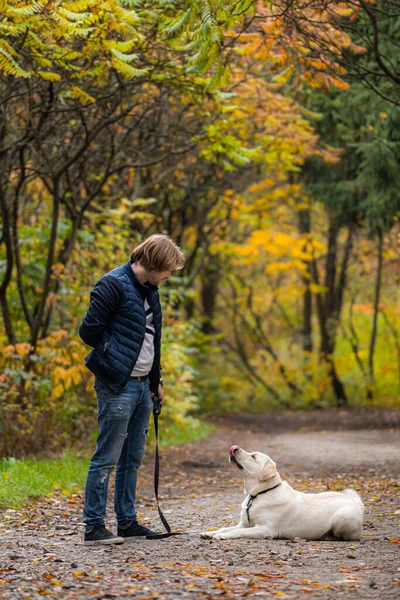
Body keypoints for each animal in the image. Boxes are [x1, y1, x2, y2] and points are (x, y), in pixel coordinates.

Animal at [199, 442, 362, 540]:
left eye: (253, 456)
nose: (235, 448)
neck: (258, 494)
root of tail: (355, 502)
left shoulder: (265, 529)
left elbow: (236, 532)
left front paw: (223, 536)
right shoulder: (244, 524)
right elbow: (224, 528)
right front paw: (209, 533)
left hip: (343, 518)